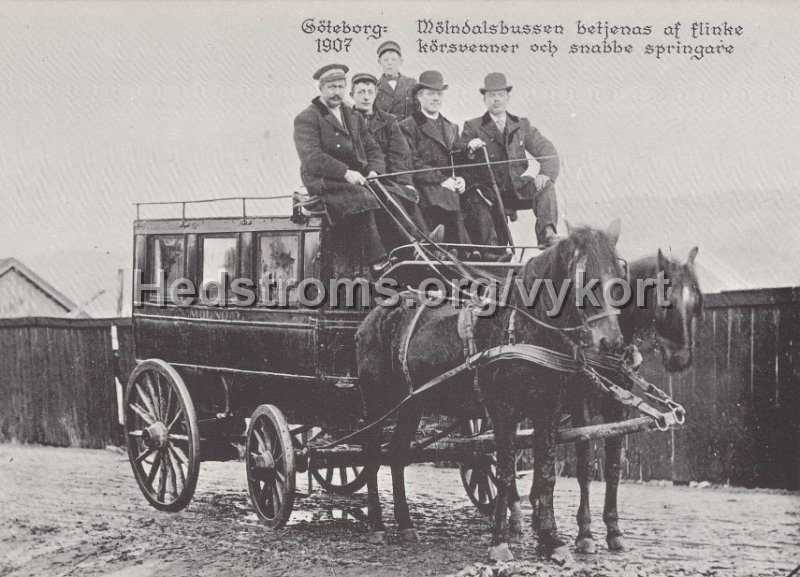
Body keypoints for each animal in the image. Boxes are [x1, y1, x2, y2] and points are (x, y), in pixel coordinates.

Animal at [356, 220, 624, 552]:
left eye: (620, 279)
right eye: (586, 279)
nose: (612, 343)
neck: (523, 330)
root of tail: (373, 316)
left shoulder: (546, 410)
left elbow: (546, 476)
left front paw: (550, 540)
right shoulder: (503, 411)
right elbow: (507, 474)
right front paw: (500, 541)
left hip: (411, 406)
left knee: (395, 456)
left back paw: (405, 525)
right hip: (377, 402)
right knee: (371, 455)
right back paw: (377, 525)